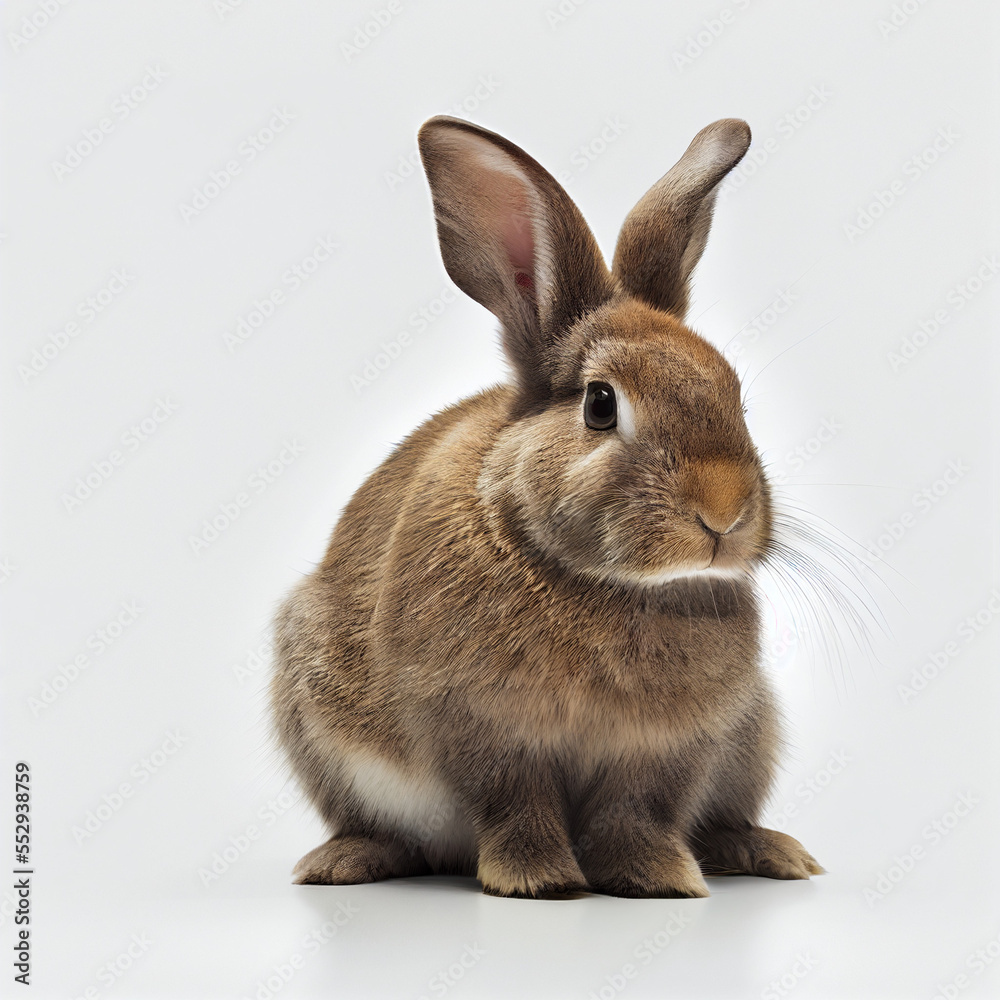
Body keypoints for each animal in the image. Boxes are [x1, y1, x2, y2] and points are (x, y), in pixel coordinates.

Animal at [270, 114, 823, 898]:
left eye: (735, 396)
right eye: (600, 405)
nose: (723, 513)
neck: (602, 583)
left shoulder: (668, 747)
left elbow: (637, 812)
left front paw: (657, 880)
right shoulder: (483, 728)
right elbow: (514, 801)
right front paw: (539, 880)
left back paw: (768, 852)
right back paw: (341, 863)